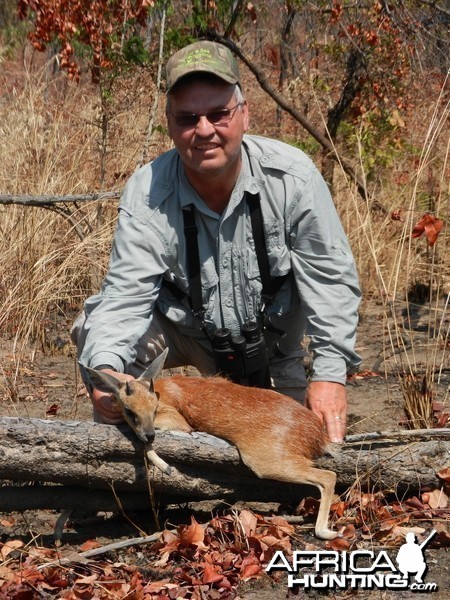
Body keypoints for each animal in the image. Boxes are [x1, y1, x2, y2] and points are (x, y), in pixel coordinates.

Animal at [83, 346, 338, 540]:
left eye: (153, 408)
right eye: (129, 409)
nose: (149, 435)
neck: (164, 390)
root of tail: (319, 435)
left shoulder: (177, 422)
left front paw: (167, 467)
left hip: (266, 461)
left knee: (328, 477)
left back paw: (326, 532)